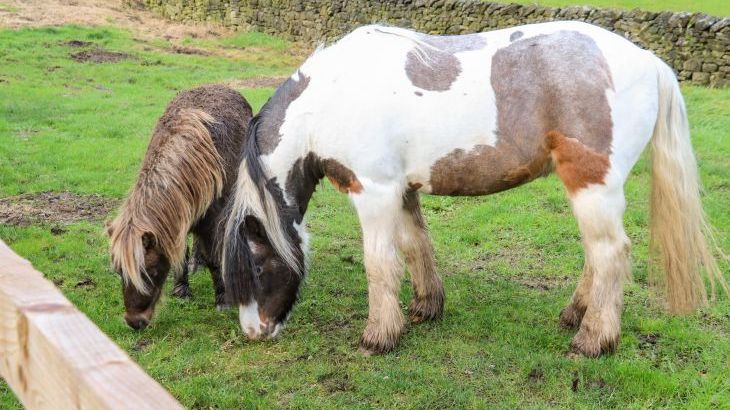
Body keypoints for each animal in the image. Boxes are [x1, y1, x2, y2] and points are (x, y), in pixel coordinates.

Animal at [106, 84, 252, 330]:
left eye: (151, 272)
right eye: (118, 271)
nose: (135, 322)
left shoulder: (212, 219)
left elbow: (214, 257)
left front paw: (223, 299)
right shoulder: (180, 221)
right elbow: (181, 254)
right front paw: (181, 289)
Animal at [220, 21, 724, 356]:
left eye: (258, 266)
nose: (254, 331)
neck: (332, 98)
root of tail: (651, 61)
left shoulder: (374, 192)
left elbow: (380, 264)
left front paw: (379, 336)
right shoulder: (403, 190)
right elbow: (415, 246)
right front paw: (425, 308)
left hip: (591, 185)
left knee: (611, 254)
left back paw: (593, 339)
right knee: (597, 254)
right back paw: (575, 315)